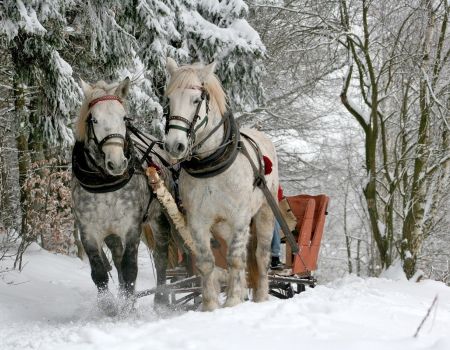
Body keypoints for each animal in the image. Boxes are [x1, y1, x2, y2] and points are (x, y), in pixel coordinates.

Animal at [164, 58, 278, 312]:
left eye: (196, 100)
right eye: (168, 100)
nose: (174, 145)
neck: (212, 163)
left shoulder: (240, 218)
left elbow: (235, 259)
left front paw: (233, 301)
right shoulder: (198, 221)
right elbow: (207, 262)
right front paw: (210, 305)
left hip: (265, 213)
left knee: (260, 256)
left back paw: (260, 296)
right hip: (223, 227)